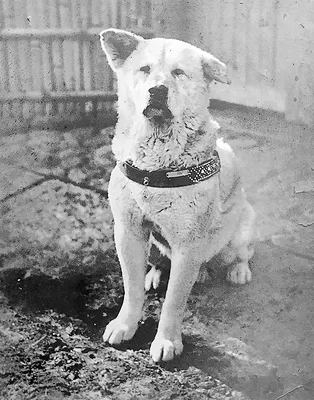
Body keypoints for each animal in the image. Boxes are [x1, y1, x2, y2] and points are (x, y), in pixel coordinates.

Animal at [99, 28, 256, 362]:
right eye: (144, 69)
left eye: (179, 72)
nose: (157, 91)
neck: (157, 163)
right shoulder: (128, 231)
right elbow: (132, 288)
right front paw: (125, 324)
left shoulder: (188, 243)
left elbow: (174, 301)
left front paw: (167, 341)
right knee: (160, 261)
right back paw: (159, 273)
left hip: (241, 229)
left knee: (240, 253)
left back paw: (237, 270)